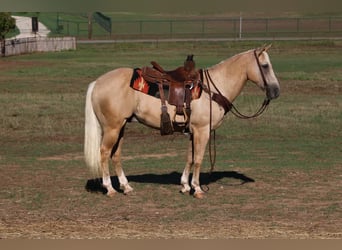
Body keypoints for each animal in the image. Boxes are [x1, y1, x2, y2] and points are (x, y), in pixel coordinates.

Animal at [84, 44, 280, 198]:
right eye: (265, 66)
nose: (276, 91)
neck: (213, 88)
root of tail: (97, 82)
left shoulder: (193, 132)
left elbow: (190, 157)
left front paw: (186, 185)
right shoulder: (202, 130)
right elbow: (198, 159)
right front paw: (197, 189)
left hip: (121, 127)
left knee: (115, 155)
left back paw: (126, 186)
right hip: (112, 128)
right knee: (104, 153)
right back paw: (109, 188)